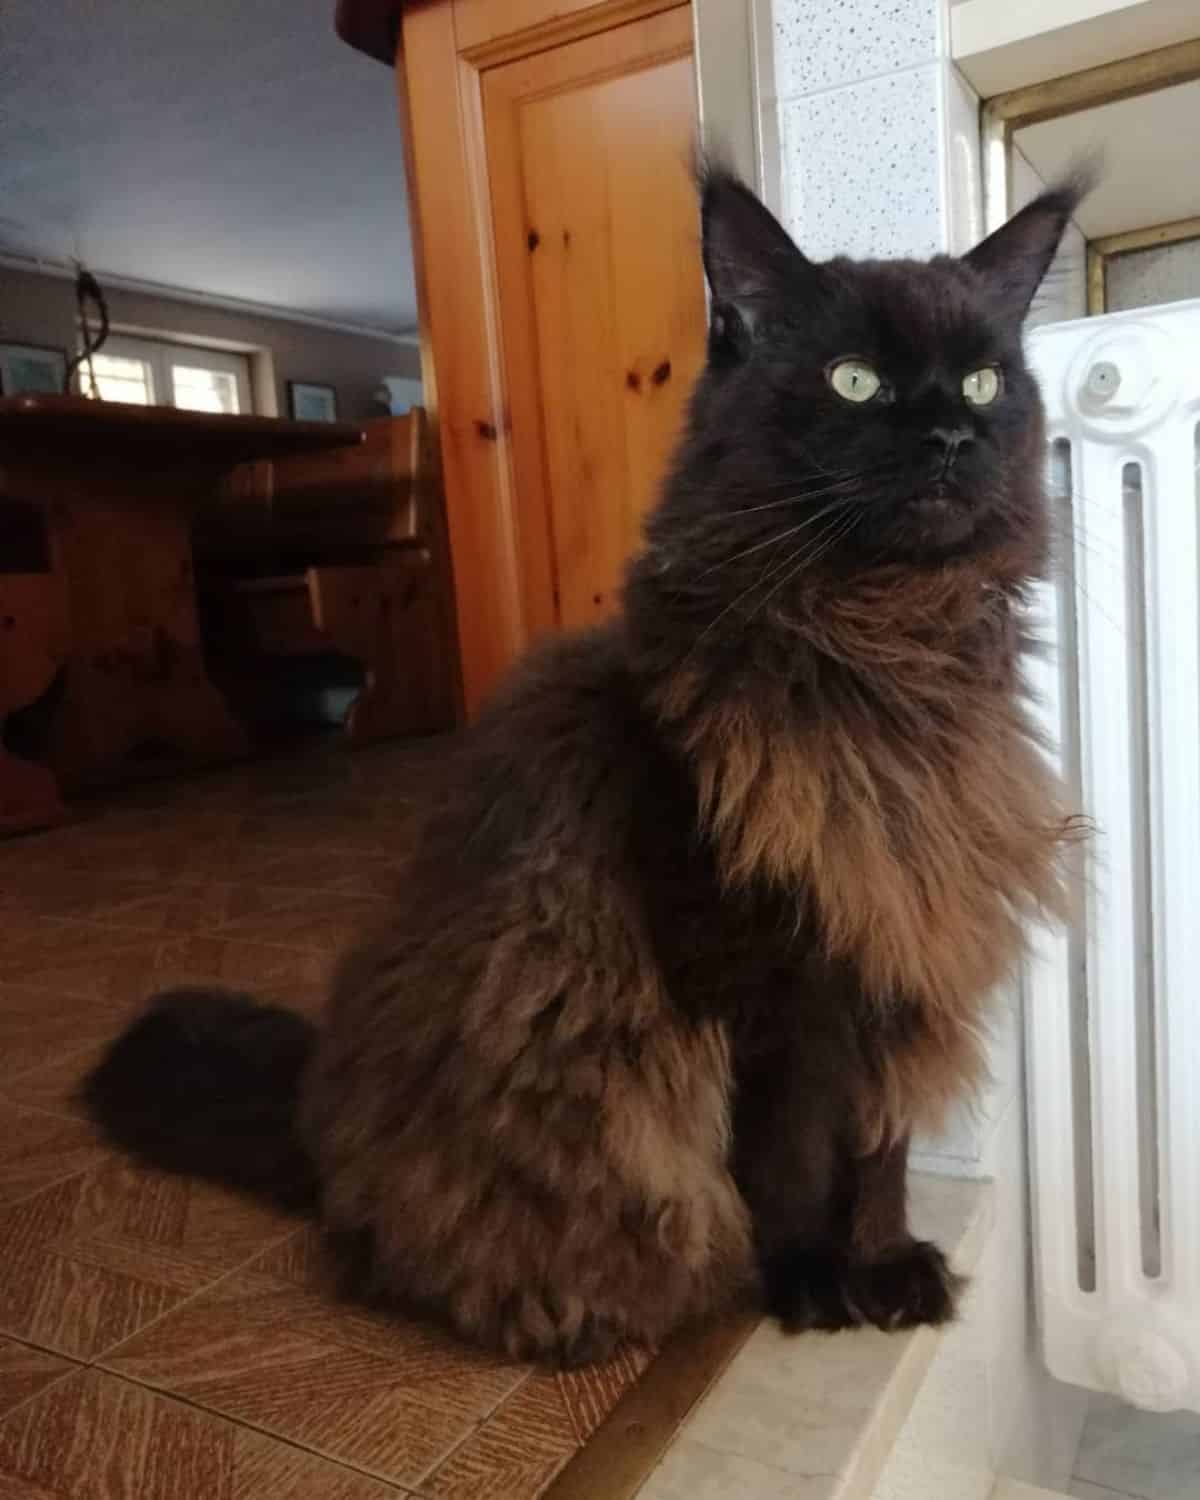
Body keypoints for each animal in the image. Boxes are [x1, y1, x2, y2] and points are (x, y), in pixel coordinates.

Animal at [79, 167, 1080, 1374]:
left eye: (983, 381)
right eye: (855, 381)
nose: (944, 436)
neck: (887, 660)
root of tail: (321, 1123)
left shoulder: (900, 943)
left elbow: (878, 1152)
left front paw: (883, 1265)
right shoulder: (756, 978)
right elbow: (792, 1161)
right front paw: (807, 1278)